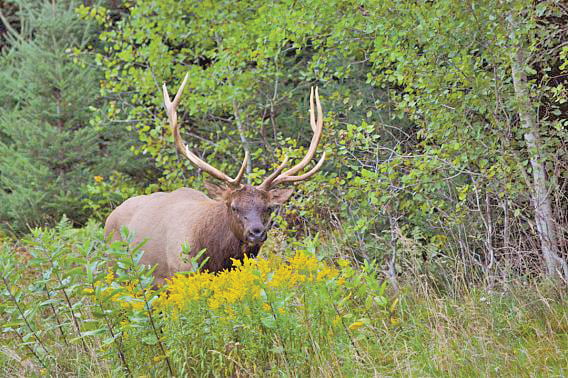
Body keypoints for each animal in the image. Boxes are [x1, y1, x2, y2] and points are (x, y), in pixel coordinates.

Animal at [102, 75, 324, 284]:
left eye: (268, 208)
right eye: (234, 207)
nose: (257, 233)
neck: (216, 257)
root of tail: (110, 217)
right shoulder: (179, 272)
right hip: (116, 268)